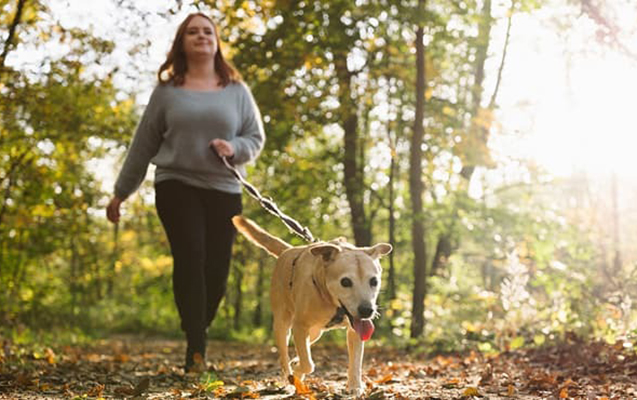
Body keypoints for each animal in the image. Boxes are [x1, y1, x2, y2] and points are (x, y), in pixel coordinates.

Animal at [232, 217, 392, 396]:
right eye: (345, 282)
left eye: (374, 281)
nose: (366, 310)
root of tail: (288, 250)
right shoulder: (299, 326)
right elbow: (308, 364)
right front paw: (297, 371)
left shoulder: (353, 331)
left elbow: (356, 362)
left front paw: (355, 386)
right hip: (282, 324)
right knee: (284, 356)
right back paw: (289, 377)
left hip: (316, 331)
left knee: (306, 344)